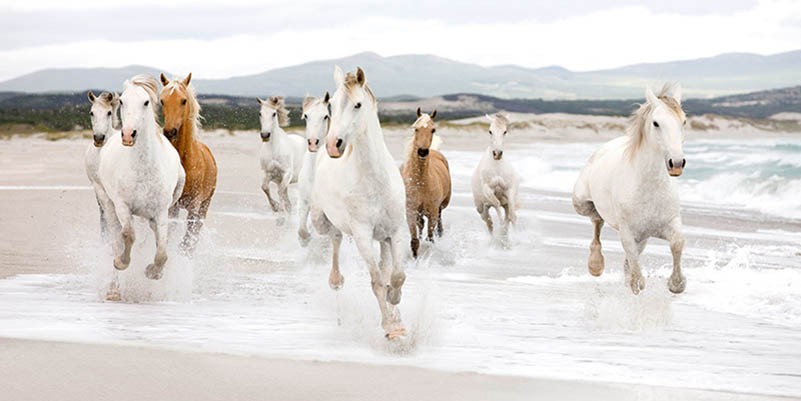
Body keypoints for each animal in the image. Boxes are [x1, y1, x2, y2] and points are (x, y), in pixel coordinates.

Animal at [97, 75, 185, 288]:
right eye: (122, 101)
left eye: (146, 102)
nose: (128, 134)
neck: (143, 169)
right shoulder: (123, 206)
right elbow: (128, 235)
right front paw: (121, 262)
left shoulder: (161, 211)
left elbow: (162, 250)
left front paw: (153, 272)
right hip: (107, 202)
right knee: (115, 234)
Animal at [159, 72, 218, 254]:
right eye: (162, 100)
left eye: (183, 100)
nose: (170, 132)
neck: (185, 162)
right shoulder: (172, 206)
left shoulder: (194, 205)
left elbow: (187, 240)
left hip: (204, 206)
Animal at [311, 66, 408, 339]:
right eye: (331, 106)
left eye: (357, 104)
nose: (333, 145)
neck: (375, 180)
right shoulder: (363, 234)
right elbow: (376, 282)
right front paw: (390, 328)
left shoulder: (396, 231)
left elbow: (397, 275)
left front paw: (395, 307)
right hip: (323, 221)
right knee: (335, 238)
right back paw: (336, 281)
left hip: (384, 237)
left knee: (386, 265)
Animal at [401, 107, 451, 257]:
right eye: (416, 128)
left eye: (433, 129)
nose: (422, 152)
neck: (421, 183)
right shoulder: (411, 212)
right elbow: (414, 241)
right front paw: (415, 259)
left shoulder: (432, 212)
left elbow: (430, 238)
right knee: (421, 225)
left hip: (441, 206)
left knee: (439, 219)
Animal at [572, 84, 687, 295]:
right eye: (656, 123)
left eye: (683, 121)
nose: (676, 163)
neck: (648, 188)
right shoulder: (627, 231)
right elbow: (632, 258)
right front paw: (636, 283)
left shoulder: (669, 223)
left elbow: (677, 243)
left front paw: (676, 284)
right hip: (581, 204)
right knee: (596, 220)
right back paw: (595, 264)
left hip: (643, 237)